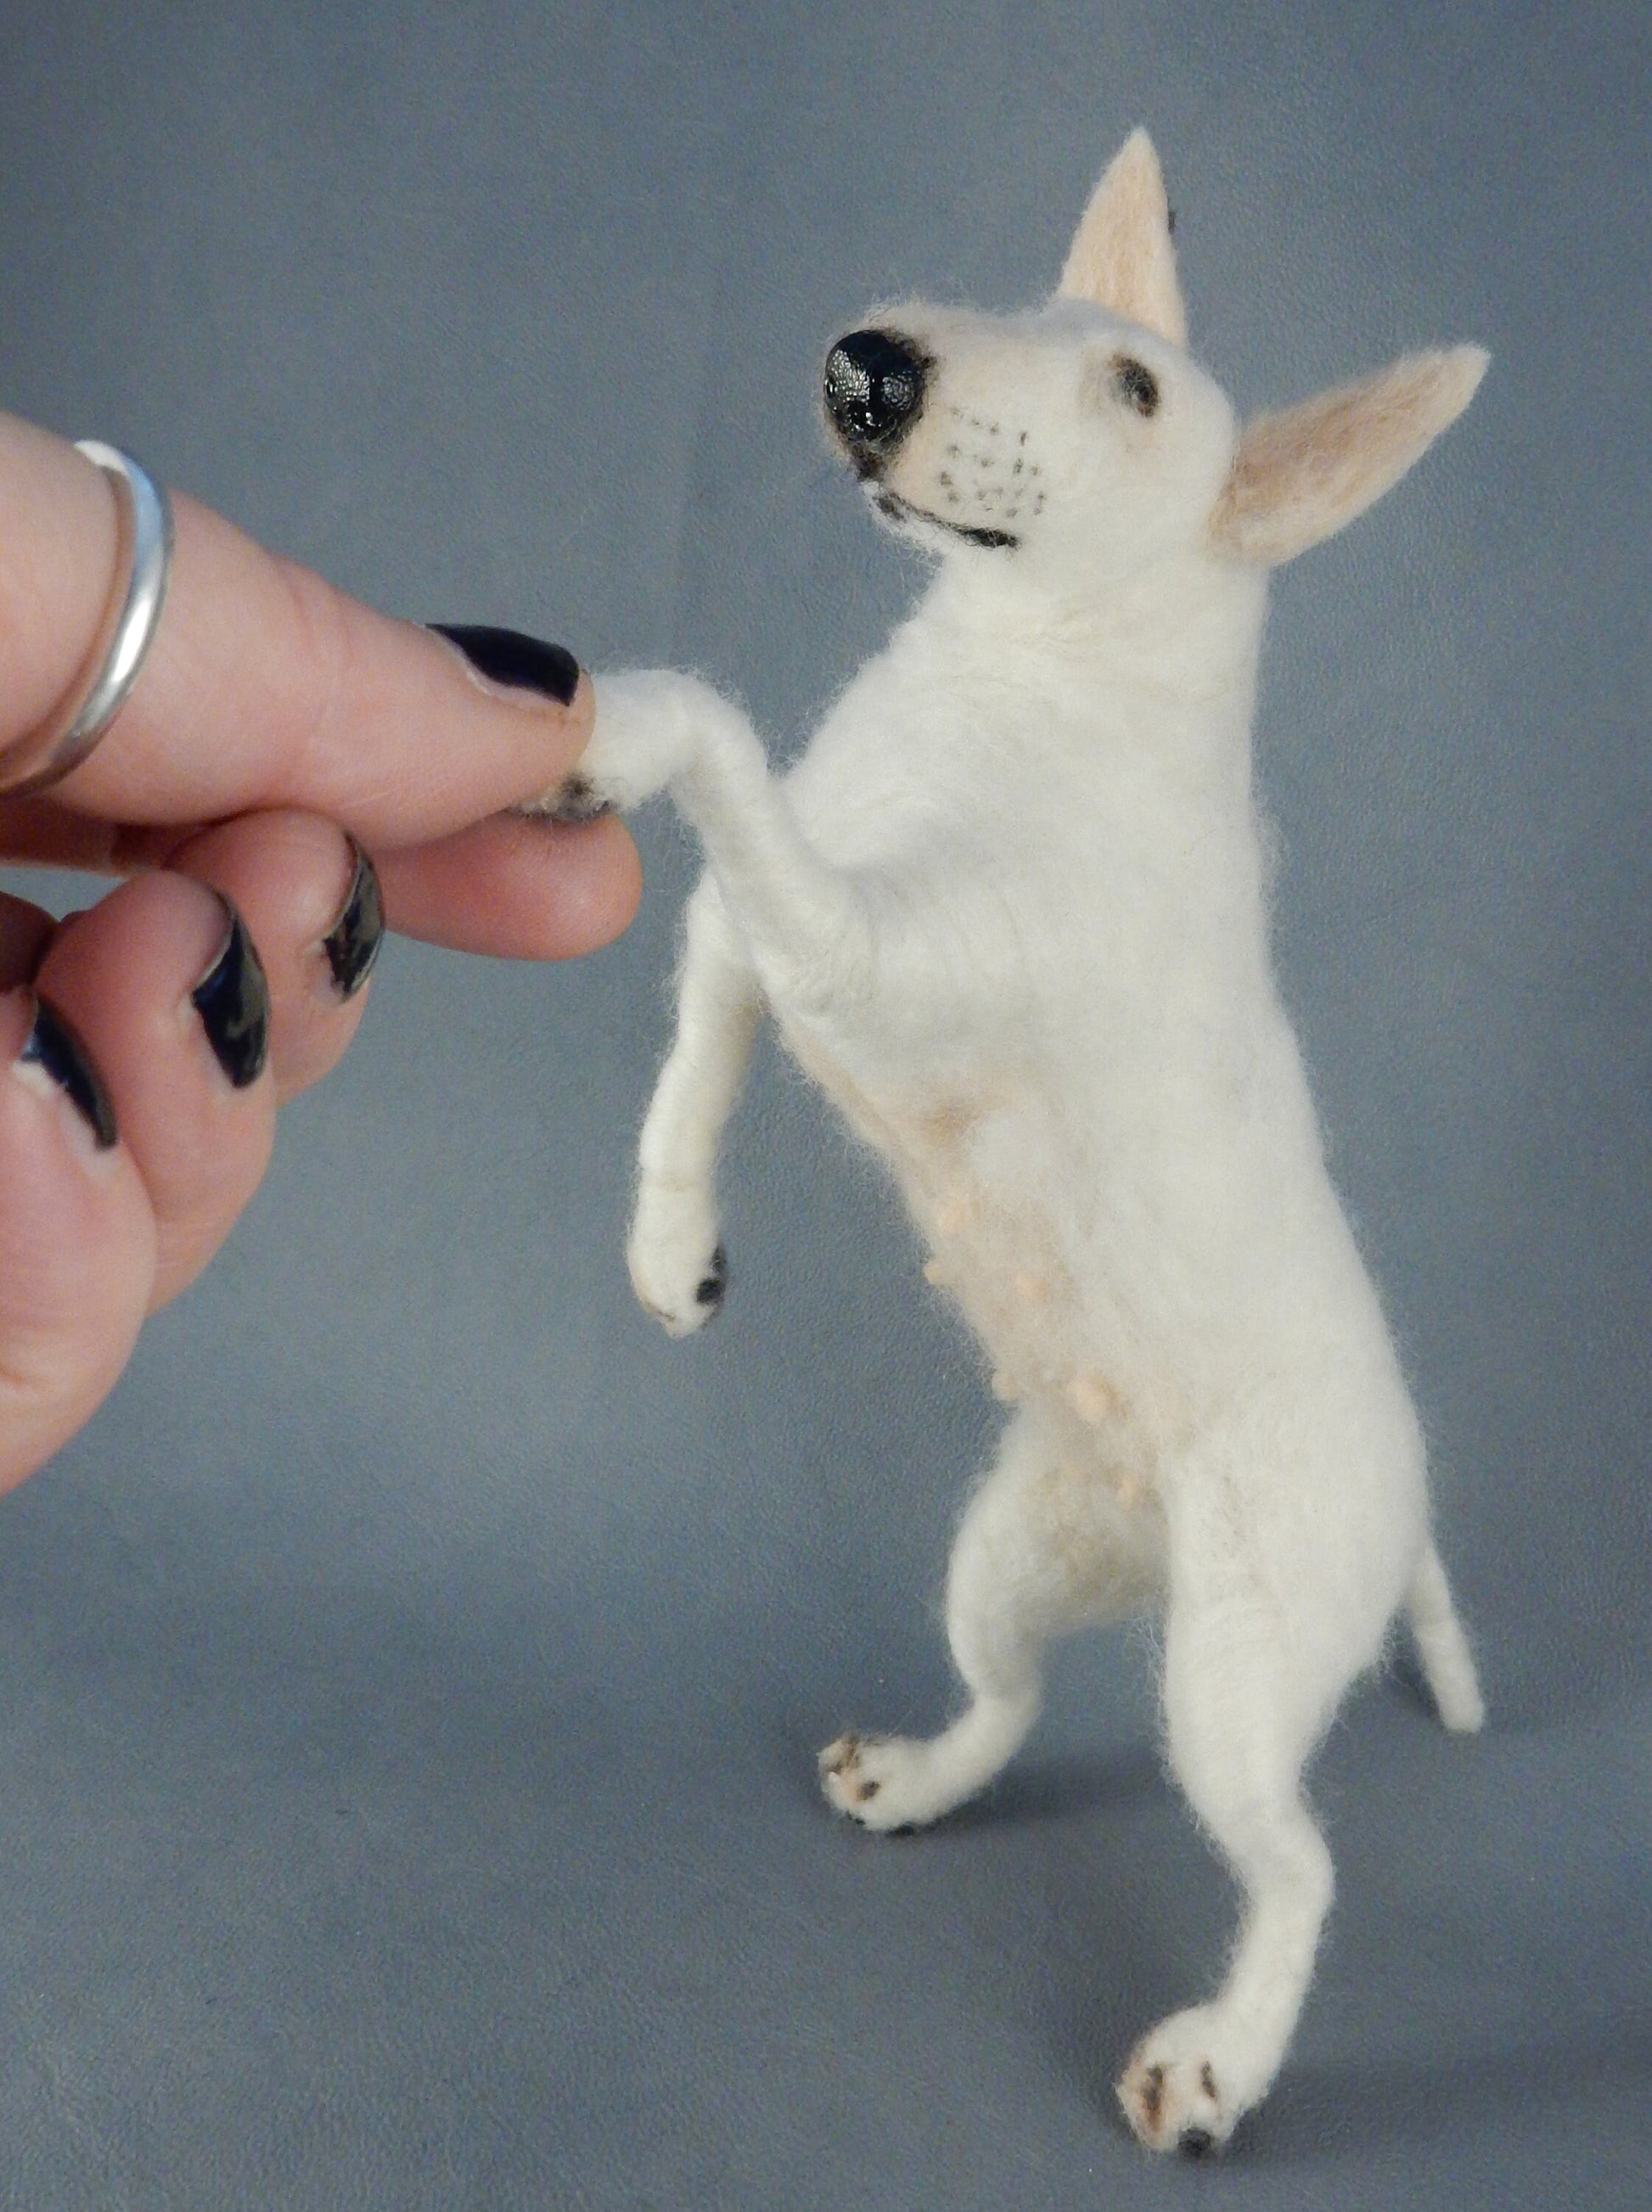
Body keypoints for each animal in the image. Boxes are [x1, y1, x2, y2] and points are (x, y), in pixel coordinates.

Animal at [548, 129, 1495, 2150]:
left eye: (1132, 386)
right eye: (1022, 303)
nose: (865, 366)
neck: (1026, 667)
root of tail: (1409, 1489)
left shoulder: (863, 953)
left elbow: (711, 739)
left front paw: (614, 726)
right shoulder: (759, 944)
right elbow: (696, 1051)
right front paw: (672, 1255)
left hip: (1238, 1662)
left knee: (1296, 1864)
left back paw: (1218, 2062)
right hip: (1013, 1550)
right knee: (1005, 1699)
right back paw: (912, 1776)